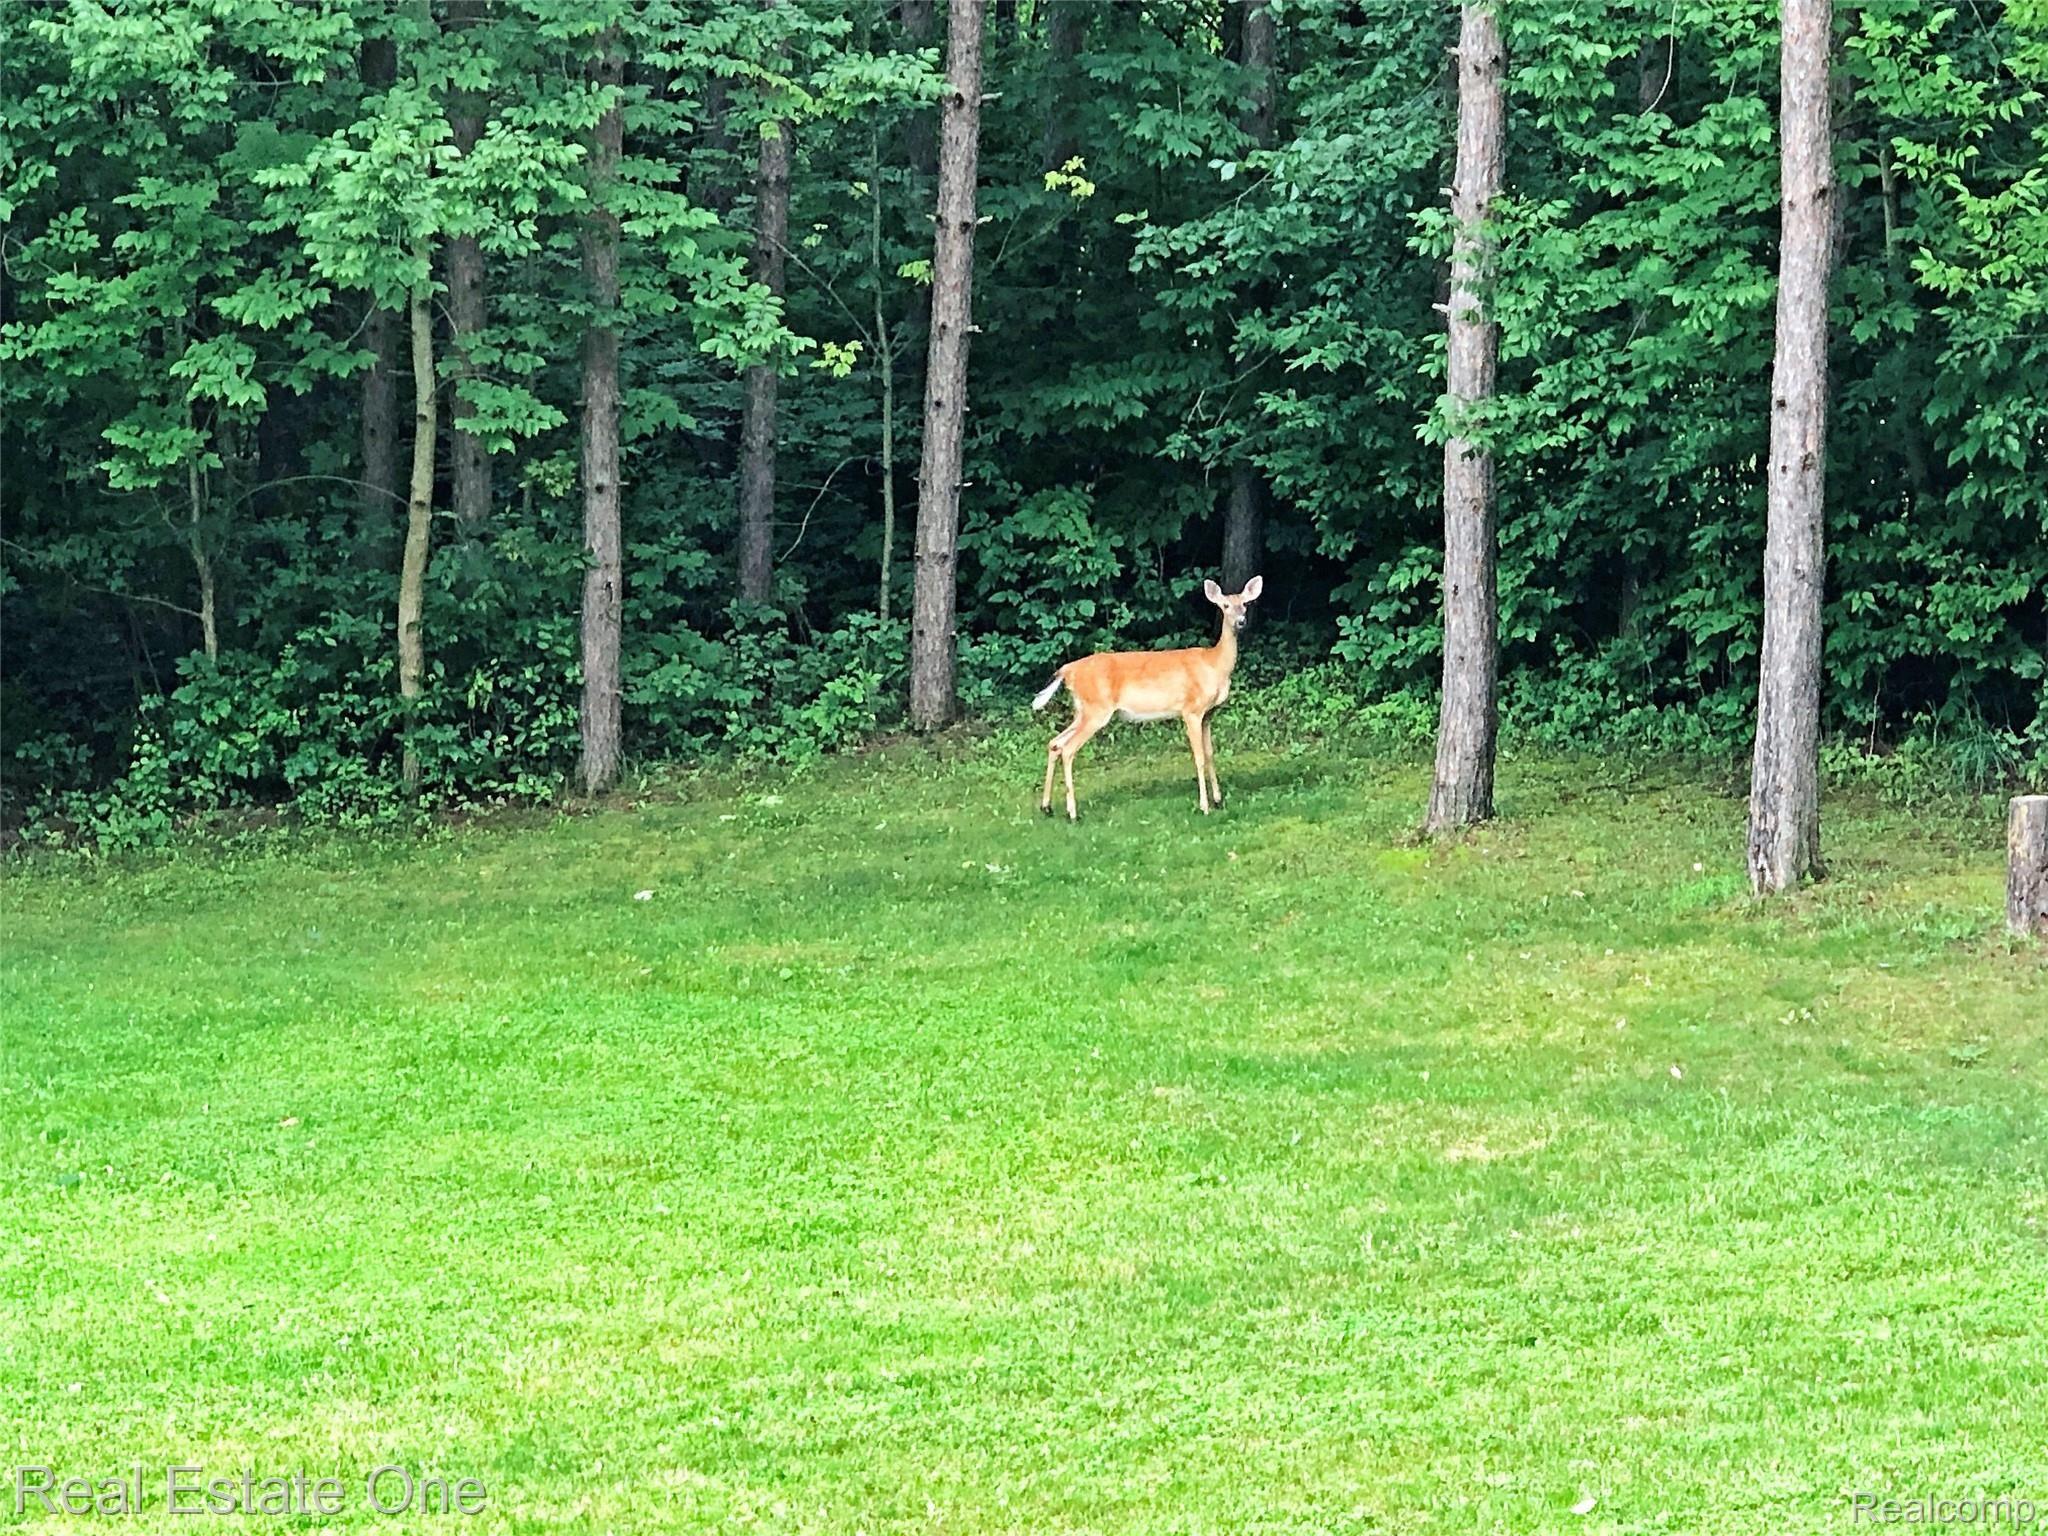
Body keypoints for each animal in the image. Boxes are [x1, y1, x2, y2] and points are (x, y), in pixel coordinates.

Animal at [1030, 576, 1263, 821]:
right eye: (1225, 606)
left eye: (1245, 604)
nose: (1241, 621)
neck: (1215, 665)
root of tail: (1067, 670)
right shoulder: (1191, 709)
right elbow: (1199, 757)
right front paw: (1204, 806)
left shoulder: (1208, 714)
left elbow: (1210, 754)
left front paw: (1218, 800)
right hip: (1096, 710)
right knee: (1067, 749)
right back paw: (1072, 813)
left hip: (1083, 710)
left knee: (1054, 743)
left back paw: (1047, 807)